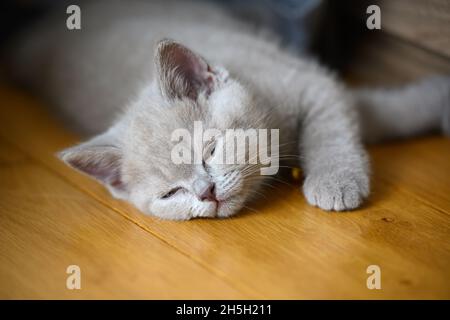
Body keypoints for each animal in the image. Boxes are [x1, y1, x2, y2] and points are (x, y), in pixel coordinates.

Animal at [7, 0, 450, 219]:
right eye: (172, 193)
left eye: (210, 151)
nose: (206, 192)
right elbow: (368, 115)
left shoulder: (313, 83)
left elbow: (344, 127)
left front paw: (336, 181)